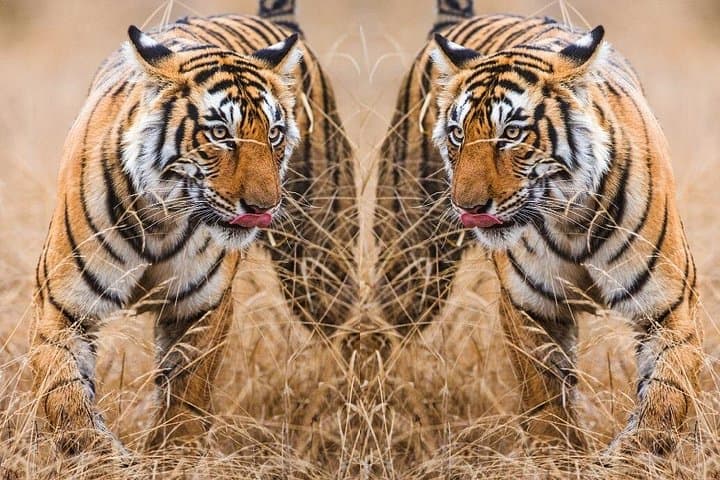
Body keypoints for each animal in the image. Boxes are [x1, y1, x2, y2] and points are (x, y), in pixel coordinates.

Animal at [30, 1, 354, 458]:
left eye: (274, 134)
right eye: (220, 134)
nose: (264, 207)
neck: (160, 220)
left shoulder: (202, 306)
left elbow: (186, 396)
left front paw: (173, 458)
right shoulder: (63, 306)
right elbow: (65, 395)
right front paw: (104, 456)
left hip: (320, 260)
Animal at [377, 0, 701, 455]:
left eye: (511, 133)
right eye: (458, 134)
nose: (467, 206)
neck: (571, 220)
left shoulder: (668, 305)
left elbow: (666, 395)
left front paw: (629, 454)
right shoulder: (529, 306)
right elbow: (545, 397)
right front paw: (559, 457)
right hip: (411, 259)